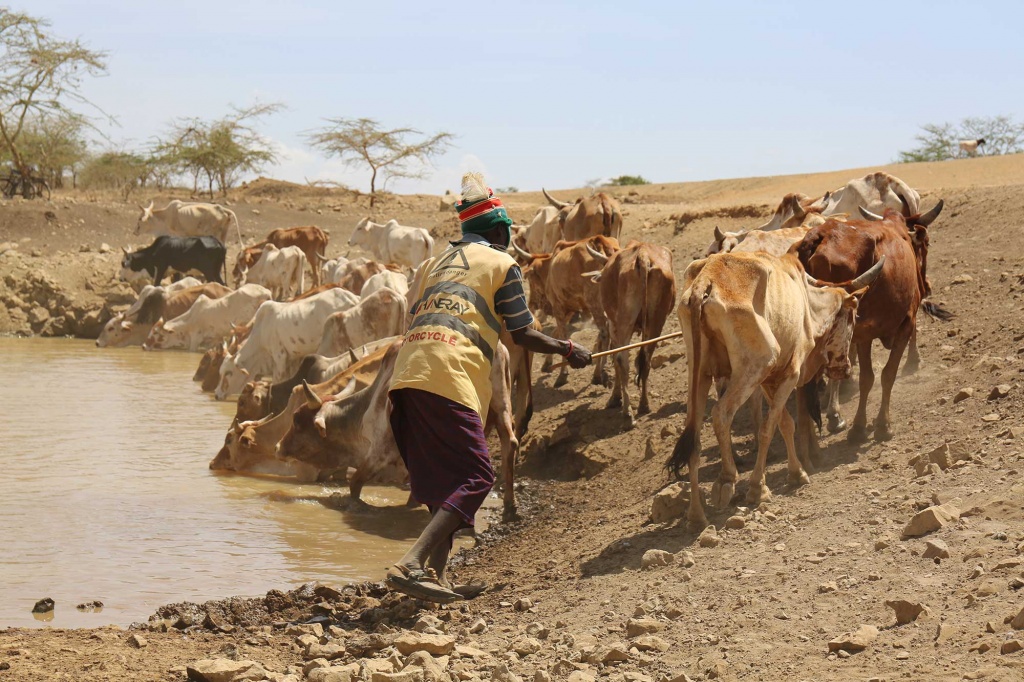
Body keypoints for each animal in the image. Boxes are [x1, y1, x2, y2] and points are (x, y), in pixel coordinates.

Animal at [214, 286, 362, 399]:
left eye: (228, 373)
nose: (216, 394)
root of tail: (353, 298)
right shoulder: (293, 359)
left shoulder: (280, 357)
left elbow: (278, 381)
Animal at [585, 240, 679, 425]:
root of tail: (643, 255)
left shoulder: (613, 326)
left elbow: (615, 359)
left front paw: (615, 398)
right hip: (656, 322)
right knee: (645, 360)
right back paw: (644, 405)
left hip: (624, 322)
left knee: (623, 360)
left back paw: (628, 414)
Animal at [790, 197, 942, 440]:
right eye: (925, 244)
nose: (926, 287)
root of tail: (819, 236)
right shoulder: (901, 325)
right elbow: (885, 374)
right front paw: (881, 424)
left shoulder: (863, 334)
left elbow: (867, 377)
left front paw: (860, 425)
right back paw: (833, 416)